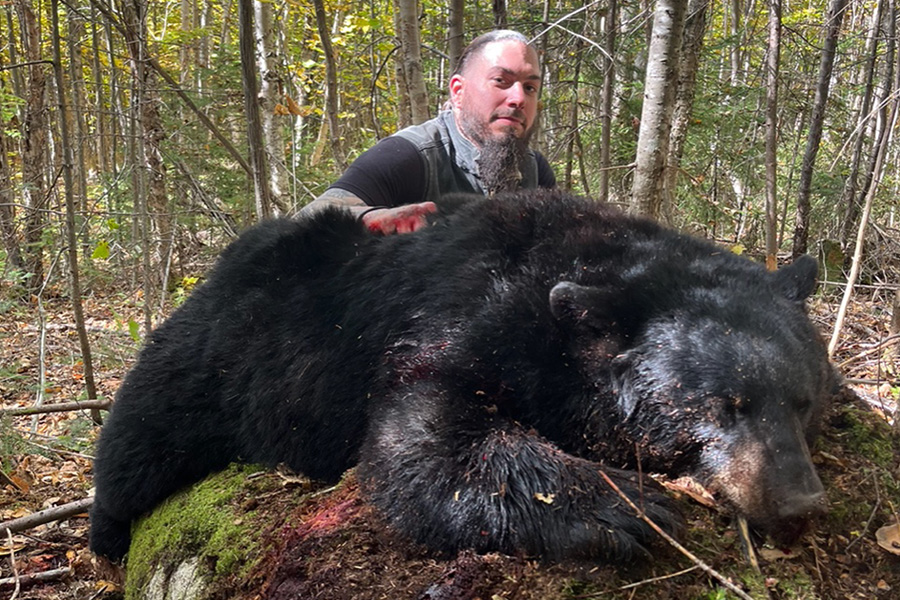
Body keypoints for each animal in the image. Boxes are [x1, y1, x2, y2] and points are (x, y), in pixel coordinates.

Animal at [89, 189, 837, 563]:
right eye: (724, 405)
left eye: (802, 402)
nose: (799, 503)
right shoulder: (465, 316)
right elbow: (422, 433)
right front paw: (626, 507)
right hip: (210, 358)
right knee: (136, 442)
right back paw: (107, 535)